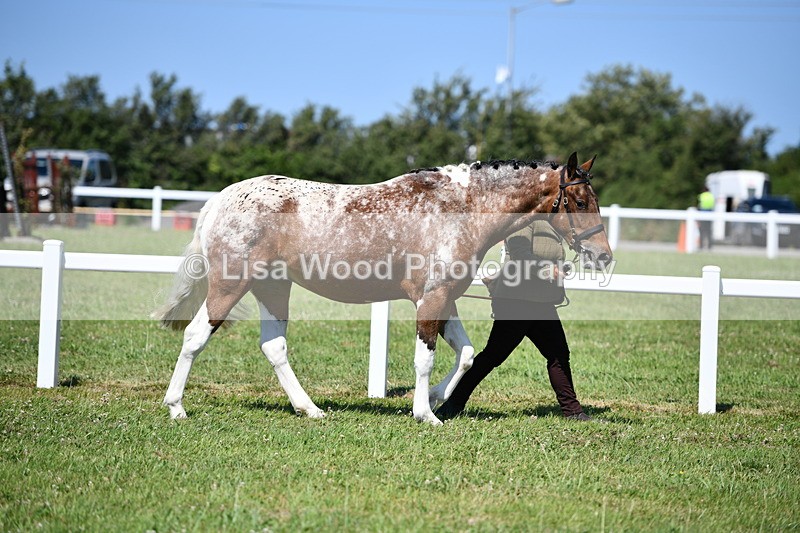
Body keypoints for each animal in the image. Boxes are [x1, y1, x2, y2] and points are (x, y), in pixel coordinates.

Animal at [154, 152, 612, 425]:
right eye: (580, 201)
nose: (603, 256)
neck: (460, 209)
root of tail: (219, 200)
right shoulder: (432, 298)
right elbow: (425, 358)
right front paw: (425, 413)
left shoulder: (444, 298)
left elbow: (466, 355)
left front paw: (437, 398)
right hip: (230, 285)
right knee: (195, 336)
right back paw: (176, 406)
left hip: (273, 288)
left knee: (274, 346)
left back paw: (311, 409)